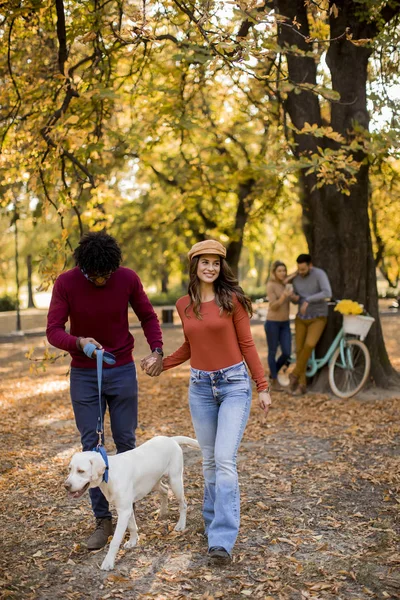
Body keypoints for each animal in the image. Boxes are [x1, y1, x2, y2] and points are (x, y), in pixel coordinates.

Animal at [65, 434, 200, 568]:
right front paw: (133, 541)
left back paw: (181, 524)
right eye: (70, 469)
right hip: (153, 482)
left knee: (183, 504)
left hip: (175, 481)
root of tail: (170, 439)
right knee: (165, 490)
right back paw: (163, 512)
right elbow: (132, 526)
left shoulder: (124, 510)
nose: (66, 486)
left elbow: (115, 540)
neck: (110, 474)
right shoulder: (126, 509)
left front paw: (108, 562)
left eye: (81, 471)